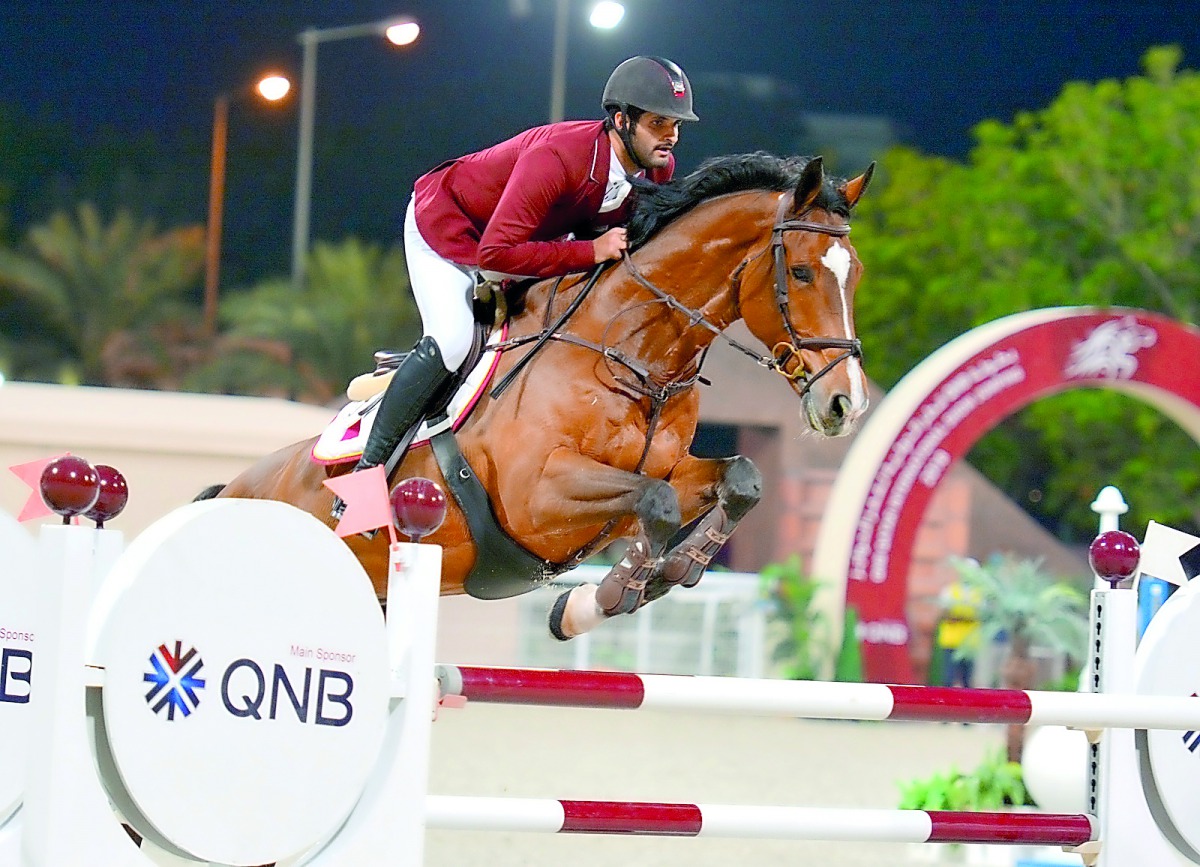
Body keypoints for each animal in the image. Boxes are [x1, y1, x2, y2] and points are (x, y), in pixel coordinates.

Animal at [213, 153, 873, 643]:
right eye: (803, 273)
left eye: (857, 274)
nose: (846, 404)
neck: (633, 351)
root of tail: (227, 492)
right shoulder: (538, 495)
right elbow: (655, 503)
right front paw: (614, 591)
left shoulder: (669, 472)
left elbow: (741, 479)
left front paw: (663, 574)